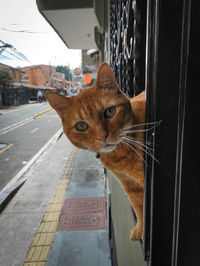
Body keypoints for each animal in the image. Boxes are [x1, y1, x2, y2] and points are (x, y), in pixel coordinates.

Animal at [46, 62, 145, 241]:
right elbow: (138, 207)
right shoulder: (130, 184)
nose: (102, 136)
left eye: (110, 111)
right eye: (81, 126)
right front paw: (140, 229)